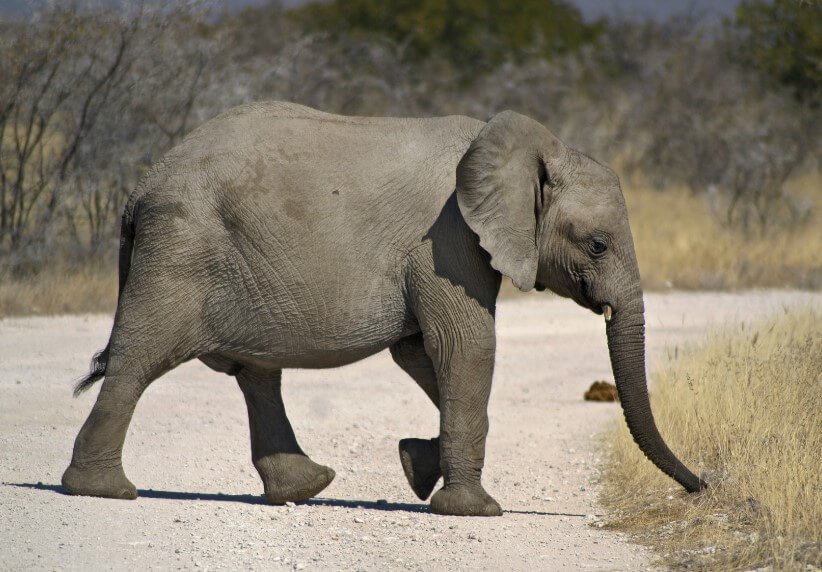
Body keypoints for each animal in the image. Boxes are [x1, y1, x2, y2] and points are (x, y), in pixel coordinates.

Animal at [64, 100, 708, 516]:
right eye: (597, 245)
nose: (702, 485)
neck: (527, 149)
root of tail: (139, 191)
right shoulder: (448, 238)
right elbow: (465, 345)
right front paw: (472, 510)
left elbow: (422, 353)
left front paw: (415, 465)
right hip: (180, 249)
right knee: (141, 359)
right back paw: (103, 492)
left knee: (256, 373)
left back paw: (305, 489)